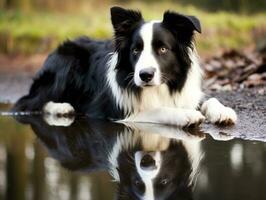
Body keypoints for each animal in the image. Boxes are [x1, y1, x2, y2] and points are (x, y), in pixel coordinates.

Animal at [12, 7, 237, 127]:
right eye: (136, 50)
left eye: (163, 49)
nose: (145, 75)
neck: (158, 89)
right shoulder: (118, 112)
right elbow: (156, 109)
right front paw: (185, 115)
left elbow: (209, 100)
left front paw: (223, 112)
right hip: (68, 61)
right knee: (29, 101)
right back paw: (62, 108)